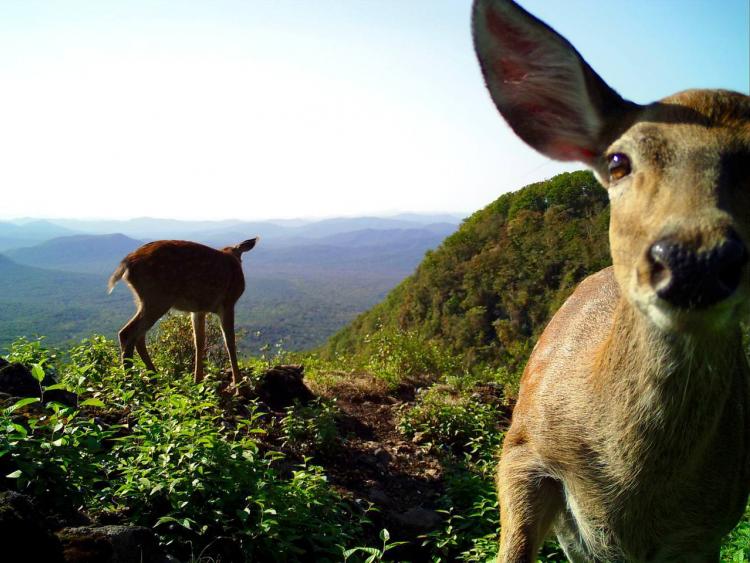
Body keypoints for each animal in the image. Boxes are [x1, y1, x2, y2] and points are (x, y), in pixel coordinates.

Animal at [107, 237, 262, 388]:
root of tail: (127, 262)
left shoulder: (199, 309)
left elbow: (199, 342)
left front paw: (198, 381)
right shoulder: (228, 302)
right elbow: (230, 341)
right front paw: (239, 383)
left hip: (143, 300)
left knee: (138, 336)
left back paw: (153, 377)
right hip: (157, 297)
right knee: (127, 333)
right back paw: (130, 381)